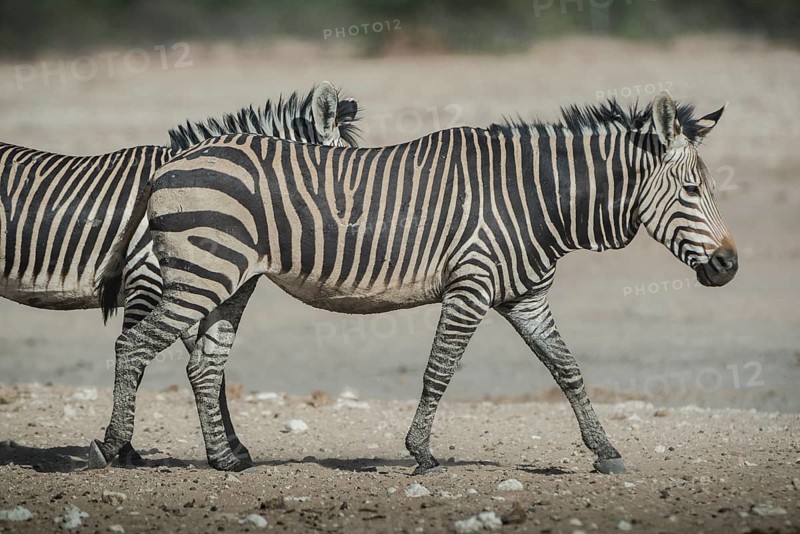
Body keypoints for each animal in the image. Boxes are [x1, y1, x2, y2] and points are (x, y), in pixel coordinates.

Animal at [89, 91, 737, 474]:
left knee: (203, 362)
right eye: (690, 190)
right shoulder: (471, 286)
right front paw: (421, 452)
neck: (535, 200)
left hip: (232, 279)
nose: (730, 266)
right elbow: (440, 371)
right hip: (202, 274)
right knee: (133, 345)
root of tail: (168, 164)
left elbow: (568, 370)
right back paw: (113, 448)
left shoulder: (525, 297)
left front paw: (606, 453)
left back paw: (226, 459)